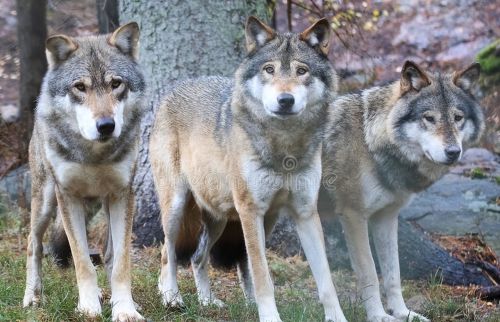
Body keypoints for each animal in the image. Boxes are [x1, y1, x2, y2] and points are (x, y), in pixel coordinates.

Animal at [22, 23, 146, 322]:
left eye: (116, 84)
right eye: (80, 87)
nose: (106, 125)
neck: (94, 156)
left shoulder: (122, 195)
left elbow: (120, 262)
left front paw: (125, 309)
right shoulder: (68, 196)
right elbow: (82, 261)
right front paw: (88, 307)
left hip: (101, 205)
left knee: (108, 254)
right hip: (45, 201)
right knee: (34, 243)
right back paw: (32, 297)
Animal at [149, 16, 348, 322]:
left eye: (301, 71)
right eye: (269, 69)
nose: (285, 100)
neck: (284, 147)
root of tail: (172, 89)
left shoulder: (305, 214)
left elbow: (325, 280)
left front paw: (337, 317)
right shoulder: (250, 211)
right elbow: (262, 274)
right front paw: (270, 317)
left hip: (228, 218)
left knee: (197, 258)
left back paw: (208, 301)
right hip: (177, 208)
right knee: (166, 252)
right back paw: (172, 298)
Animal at [320, 61, 484, 322]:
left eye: (457, 118)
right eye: (429, 118)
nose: (453, 152)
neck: (369, 142)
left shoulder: (386, 217)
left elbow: (393, 274)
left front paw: (403, 313)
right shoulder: (353, 216)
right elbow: (369, 273)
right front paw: (378, 316)